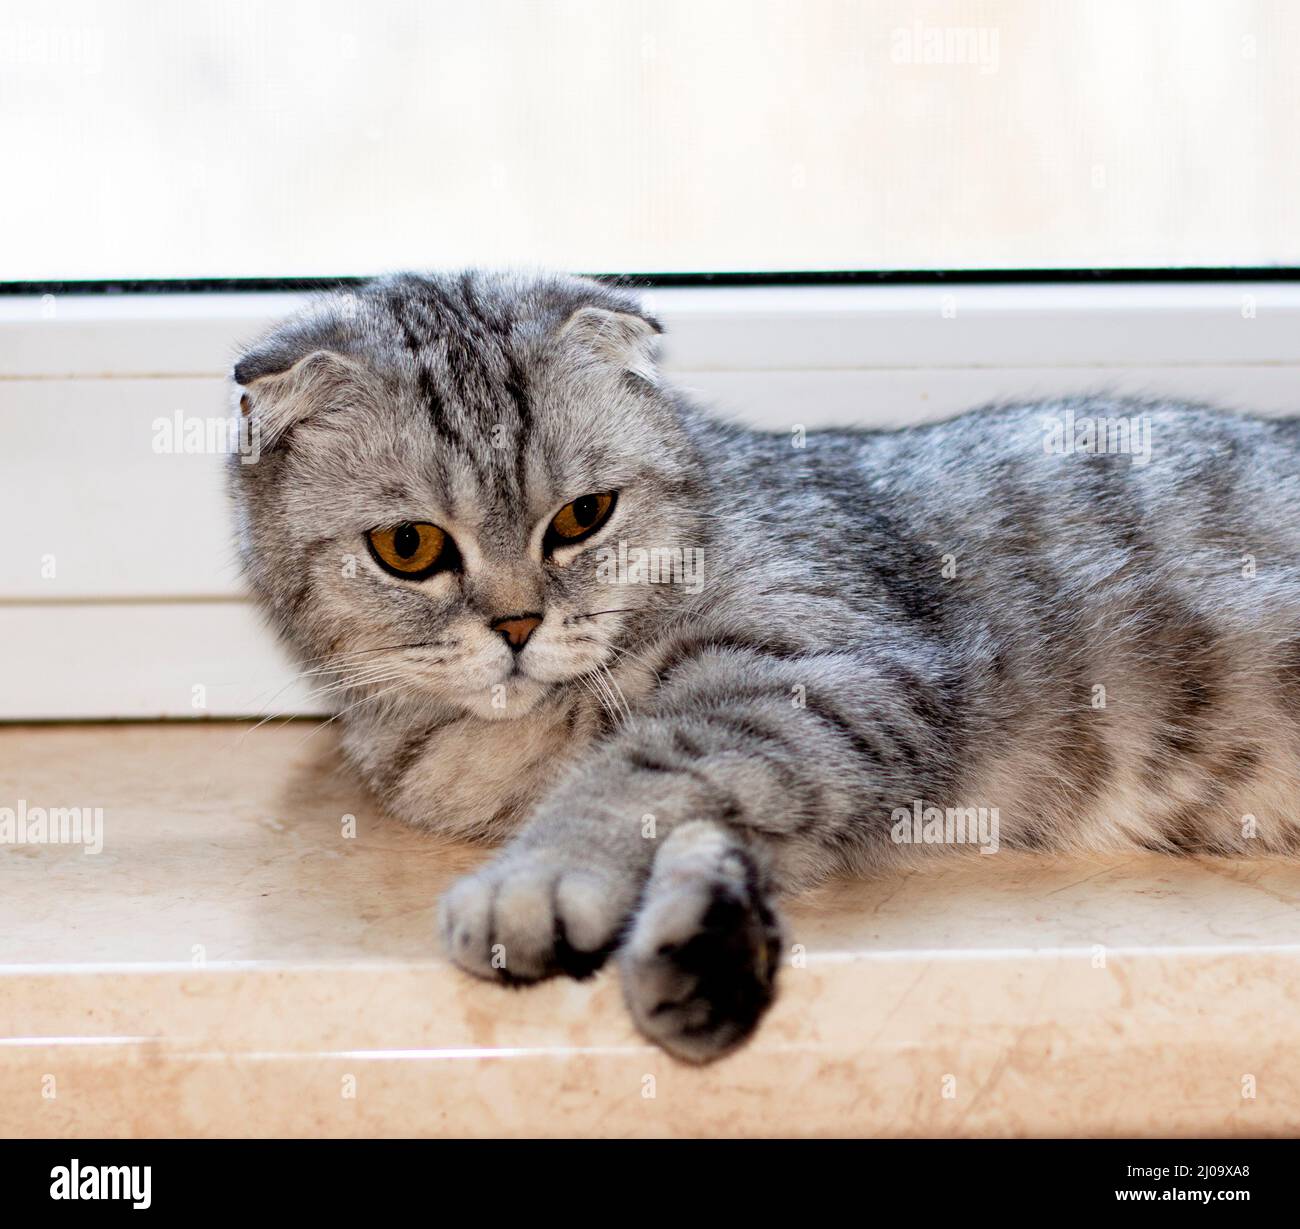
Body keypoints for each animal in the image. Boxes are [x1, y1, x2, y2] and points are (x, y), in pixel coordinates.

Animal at [228, 273, 1300, 1061]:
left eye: (583, 516)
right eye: (408, 546)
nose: (520, 624)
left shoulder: (836, 673)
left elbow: (641, 770)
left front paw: (536, 880)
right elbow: (709, 819)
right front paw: (705, 948)